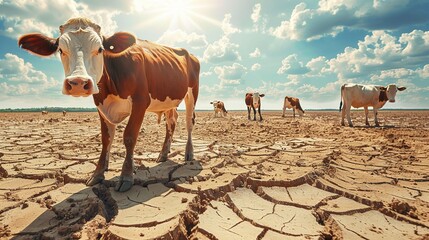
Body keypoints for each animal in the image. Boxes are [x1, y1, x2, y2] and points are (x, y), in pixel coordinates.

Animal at [18, 16, 199, 192]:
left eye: (100, 49)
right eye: (60, 50)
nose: (78, 83)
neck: (111, 85)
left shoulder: (141, 101)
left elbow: (129, 136)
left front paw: (126, 176)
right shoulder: (100, 104)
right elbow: (106, 138)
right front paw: (98, 173)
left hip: (192, 92)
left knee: (189, 122)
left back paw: (189, 153)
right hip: (168, 100)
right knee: (171, 122)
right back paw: (163, 154)